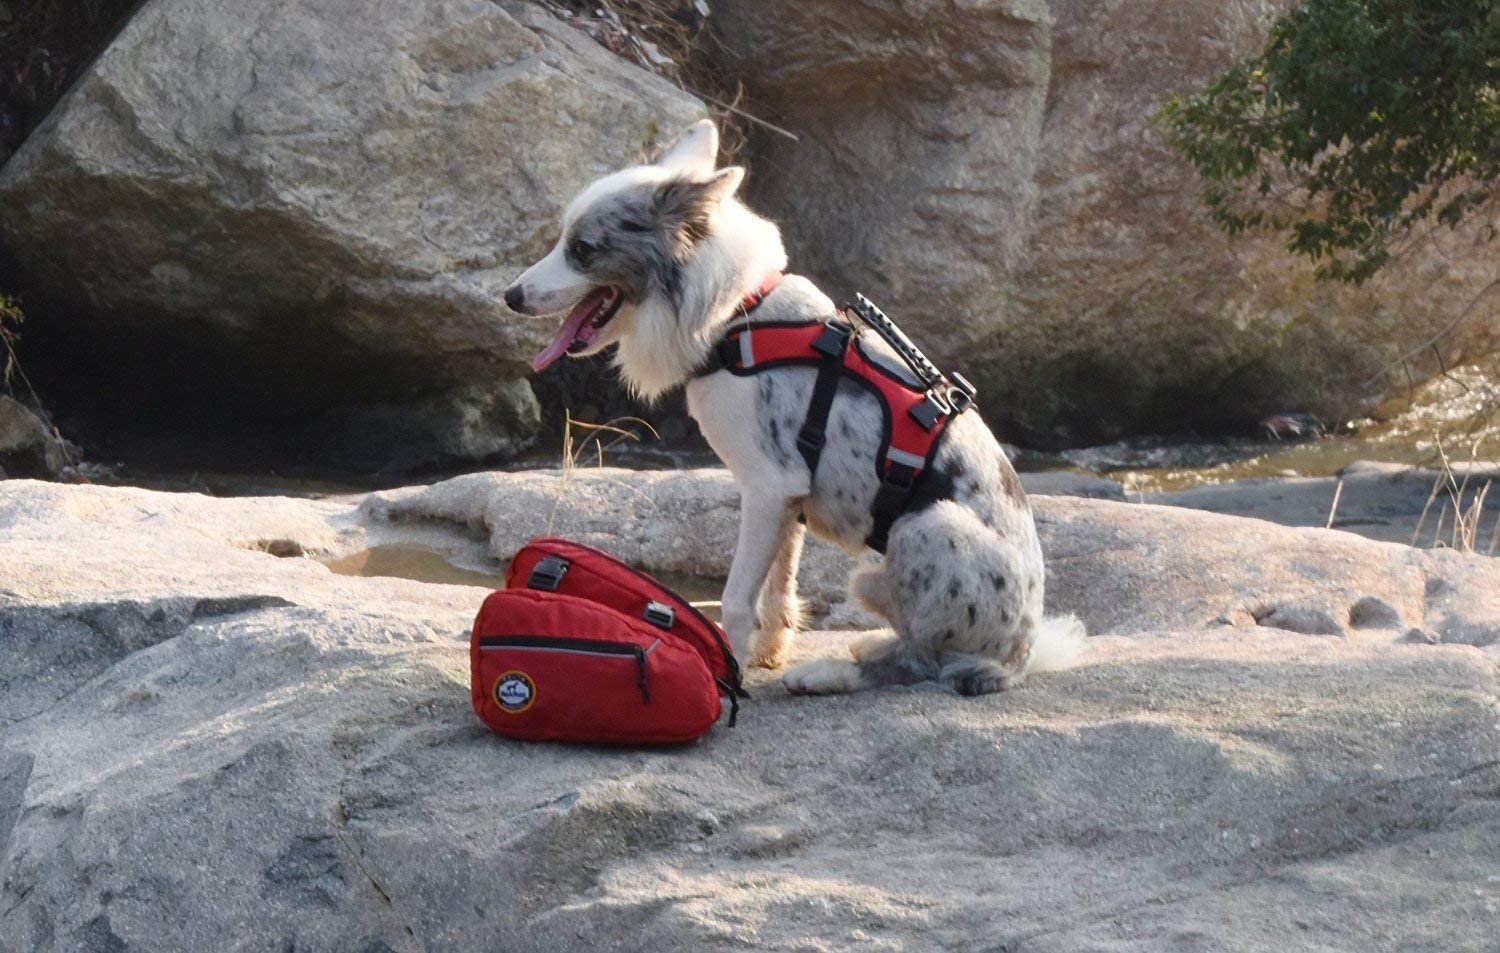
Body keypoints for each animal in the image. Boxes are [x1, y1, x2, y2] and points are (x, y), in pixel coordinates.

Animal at [504, 123, 1080, 696]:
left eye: (582, 249)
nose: (510, 296)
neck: (736, 316)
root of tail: (1019, 658)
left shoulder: (767, 486)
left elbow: (738, 598)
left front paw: (732, 673)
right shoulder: (789, 495)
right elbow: (779, 586)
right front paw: (768, 653)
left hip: (924, 527)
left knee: (921, 661)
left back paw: (829, 673)